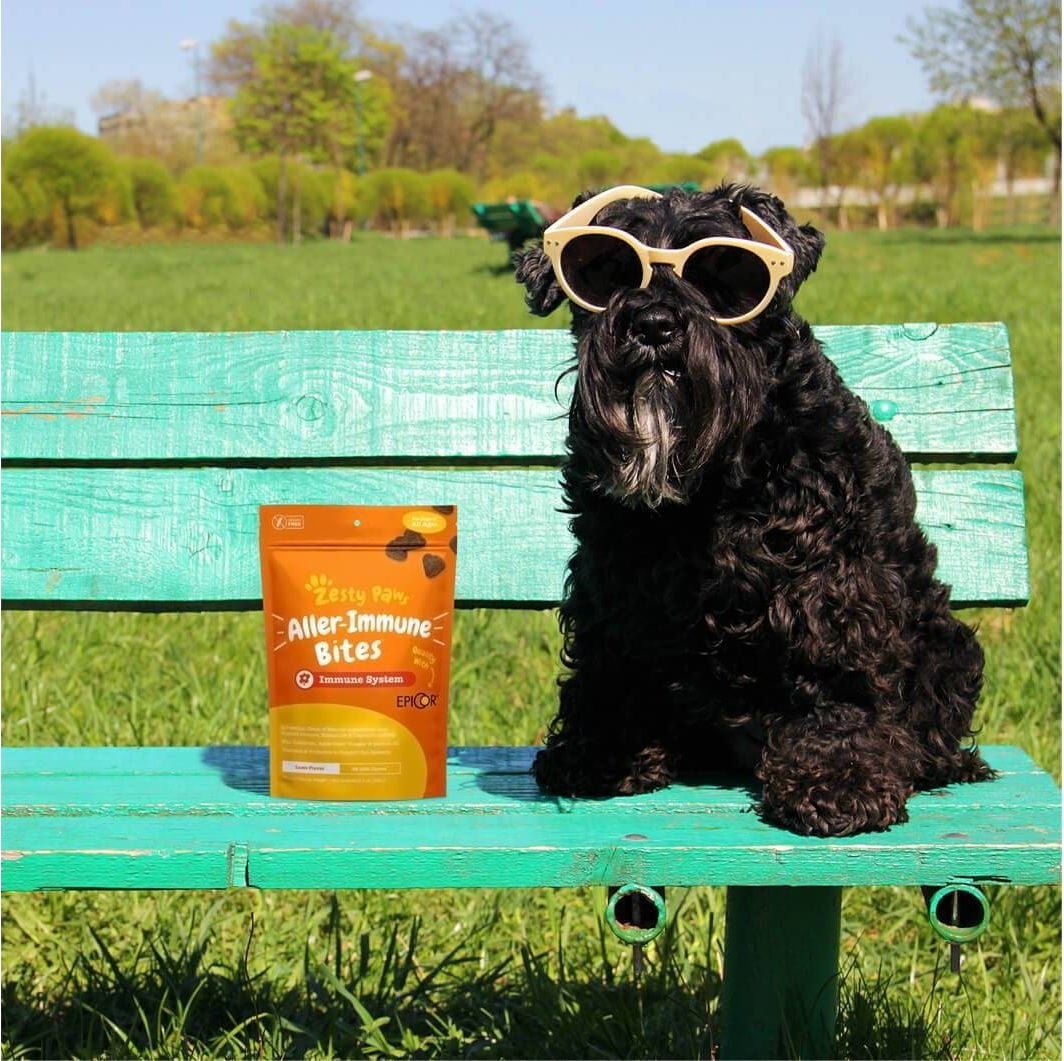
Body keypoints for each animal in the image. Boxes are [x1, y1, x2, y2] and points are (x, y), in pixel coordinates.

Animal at [510, 186, 991, 838]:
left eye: (724, 272)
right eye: (606, 269)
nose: (653, 324)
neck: (713, 479)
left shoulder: (833, 577)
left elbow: (838, 670)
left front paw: (838, 779)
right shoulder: (613, 571)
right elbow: (608, 659)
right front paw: (600, 751)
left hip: (948, 644)